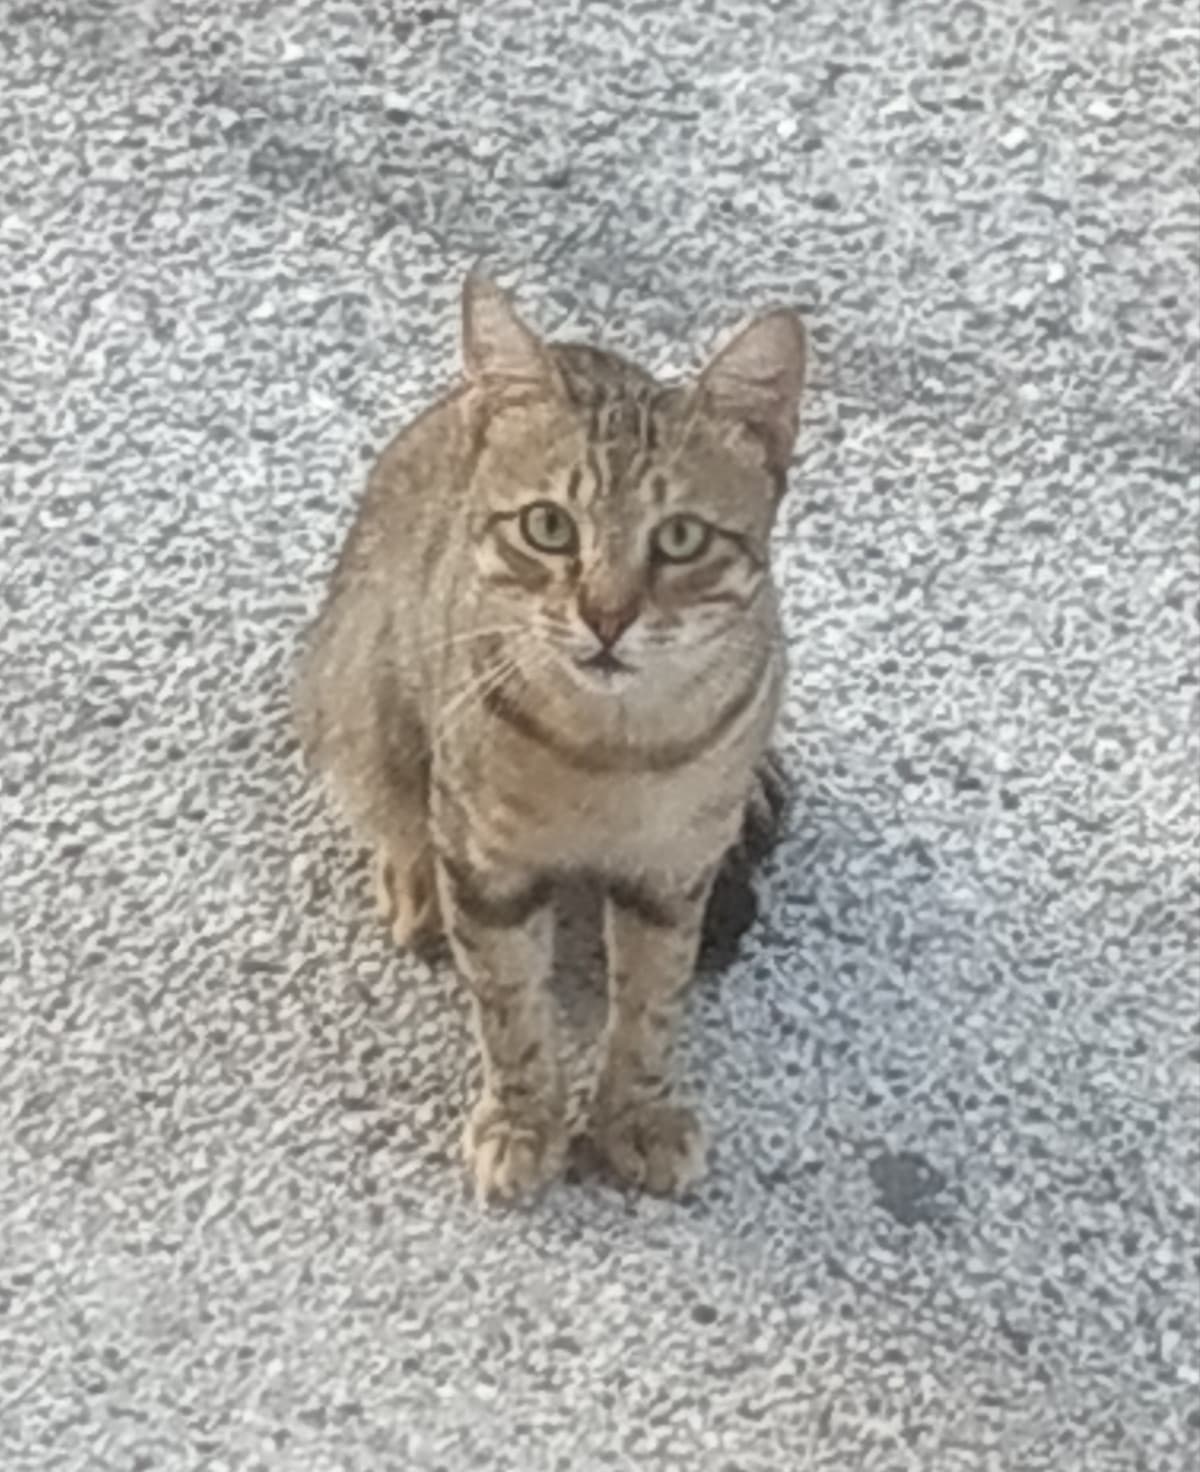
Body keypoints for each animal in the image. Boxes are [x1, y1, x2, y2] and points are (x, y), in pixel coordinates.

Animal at [295, 278, 806, 1207]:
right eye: (549, 526)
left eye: (680, 537)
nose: (606, 616)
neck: (618, 751)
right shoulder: (489, 862)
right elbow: (510, 1005)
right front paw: (525, 1120)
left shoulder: (673, 872)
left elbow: (651, 1003)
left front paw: (634, 1113)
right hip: (356, 687)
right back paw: (414, 879)